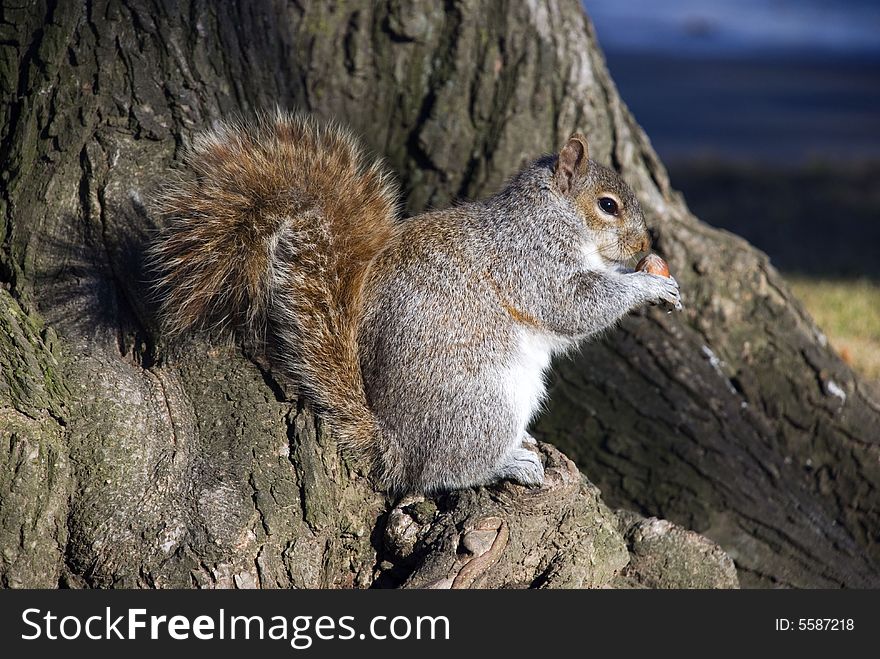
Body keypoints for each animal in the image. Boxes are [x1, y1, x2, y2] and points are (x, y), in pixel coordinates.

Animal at [151, 112, 680, 496]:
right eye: (608, 205)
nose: (643, 244)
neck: (549, 214)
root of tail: (395, 446)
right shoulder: (532, 262)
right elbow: (574, 306)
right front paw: (646, 285)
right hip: (484, 405)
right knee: (438, 475)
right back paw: (507, 463)